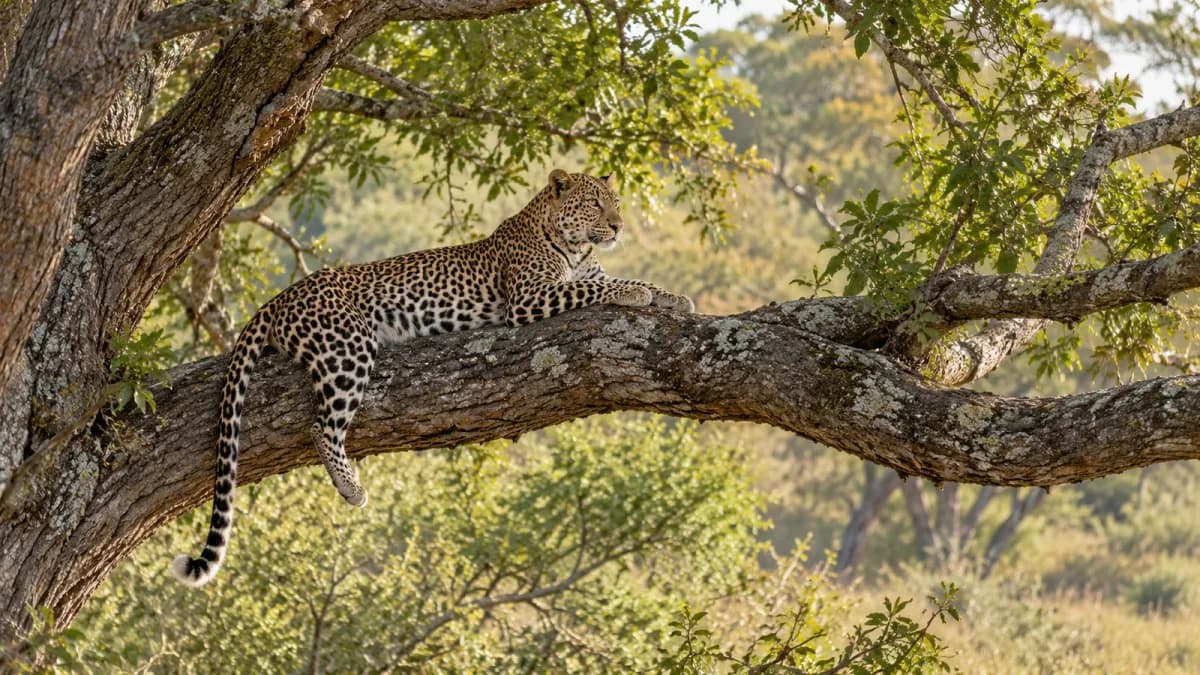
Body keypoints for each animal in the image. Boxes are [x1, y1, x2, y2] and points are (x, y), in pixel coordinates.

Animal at [171, 169, 694, 586]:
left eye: (617, 201)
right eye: (594, 203)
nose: (617, 226)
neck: (575, 247)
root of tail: (280, 297)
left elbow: (618, 281)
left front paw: (674, 297)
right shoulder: (532, 297)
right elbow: (598, 287)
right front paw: (638, 293)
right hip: (349, 346)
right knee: (321, 426)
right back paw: (351, 488)